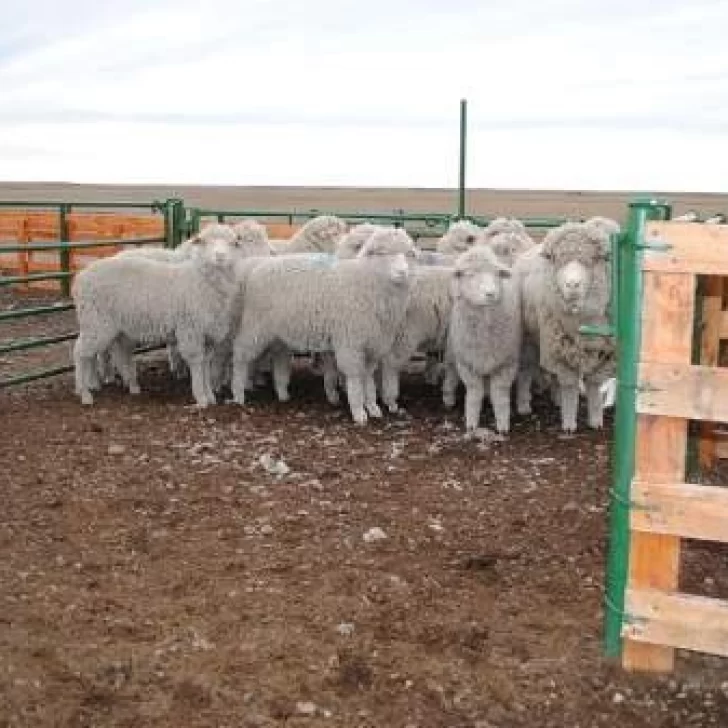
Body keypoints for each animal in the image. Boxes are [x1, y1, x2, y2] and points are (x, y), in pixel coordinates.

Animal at [73, 222, 240, 406]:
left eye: (232, 243)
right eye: (205, 242)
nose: (220, 256)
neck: (200, 280)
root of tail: (80, 278)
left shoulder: (209, 334)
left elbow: (205, 364)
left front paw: (210, 395)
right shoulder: (191, 330)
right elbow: (197, 363)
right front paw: (201, 398)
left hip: (106, 325)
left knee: (96, 354)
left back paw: (110, 385)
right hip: (97, 322)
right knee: (80, 353)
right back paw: (85, 393)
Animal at [230, 226, 418, 420]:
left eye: (408, 254)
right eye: (382, 252)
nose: (402, 272)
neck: (365, 282)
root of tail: (258, 267)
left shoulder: (374, 343)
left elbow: (367, 376)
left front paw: (372, 406)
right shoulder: (350, 342)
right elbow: (355, 376)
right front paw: (358, 411)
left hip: (279, 331)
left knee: (279, 357)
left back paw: (282, 393)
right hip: (255, 324)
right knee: (240, 354)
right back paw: (238, 393)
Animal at [512, 219, 616, 430]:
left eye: (593, 259)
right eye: (556, 259)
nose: (572, 285)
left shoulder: (604, 351)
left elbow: (594, 385)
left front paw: (596, 419)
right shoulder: (558, 344)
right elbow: (569, 385)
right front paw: (569, 422)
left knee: (553, 376)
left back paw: (556, 397)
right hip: (529, 337)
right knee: (526, 370)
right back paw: (524, 405)